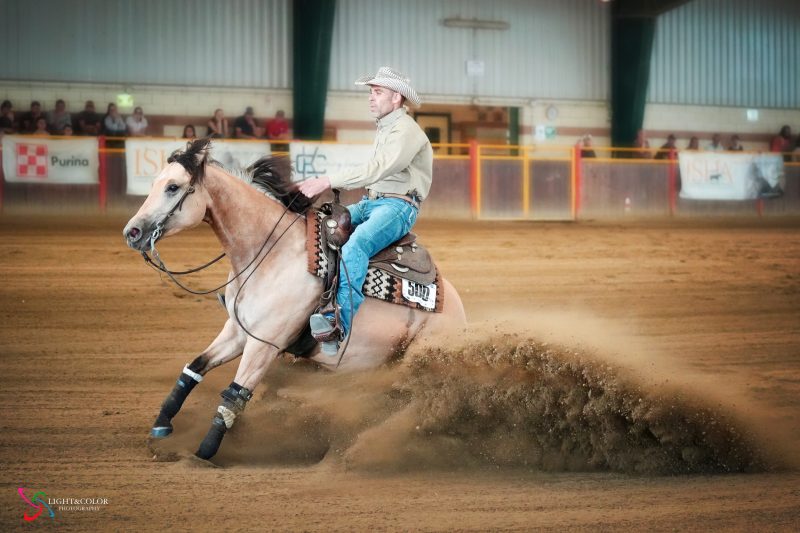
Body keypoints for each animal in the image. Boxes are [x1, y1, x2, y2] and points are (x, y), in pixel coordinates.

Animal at [123, 138, 466, 461]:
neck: (272, 252)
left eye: (173, 187)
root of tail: (456, 305)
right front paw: (162, 425)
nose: (132, 232)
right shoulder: (238, 331)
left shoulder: (265, 344)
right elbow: (193, 368)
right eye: (154, 183)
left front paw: (203, 453)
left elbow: (234, 395)